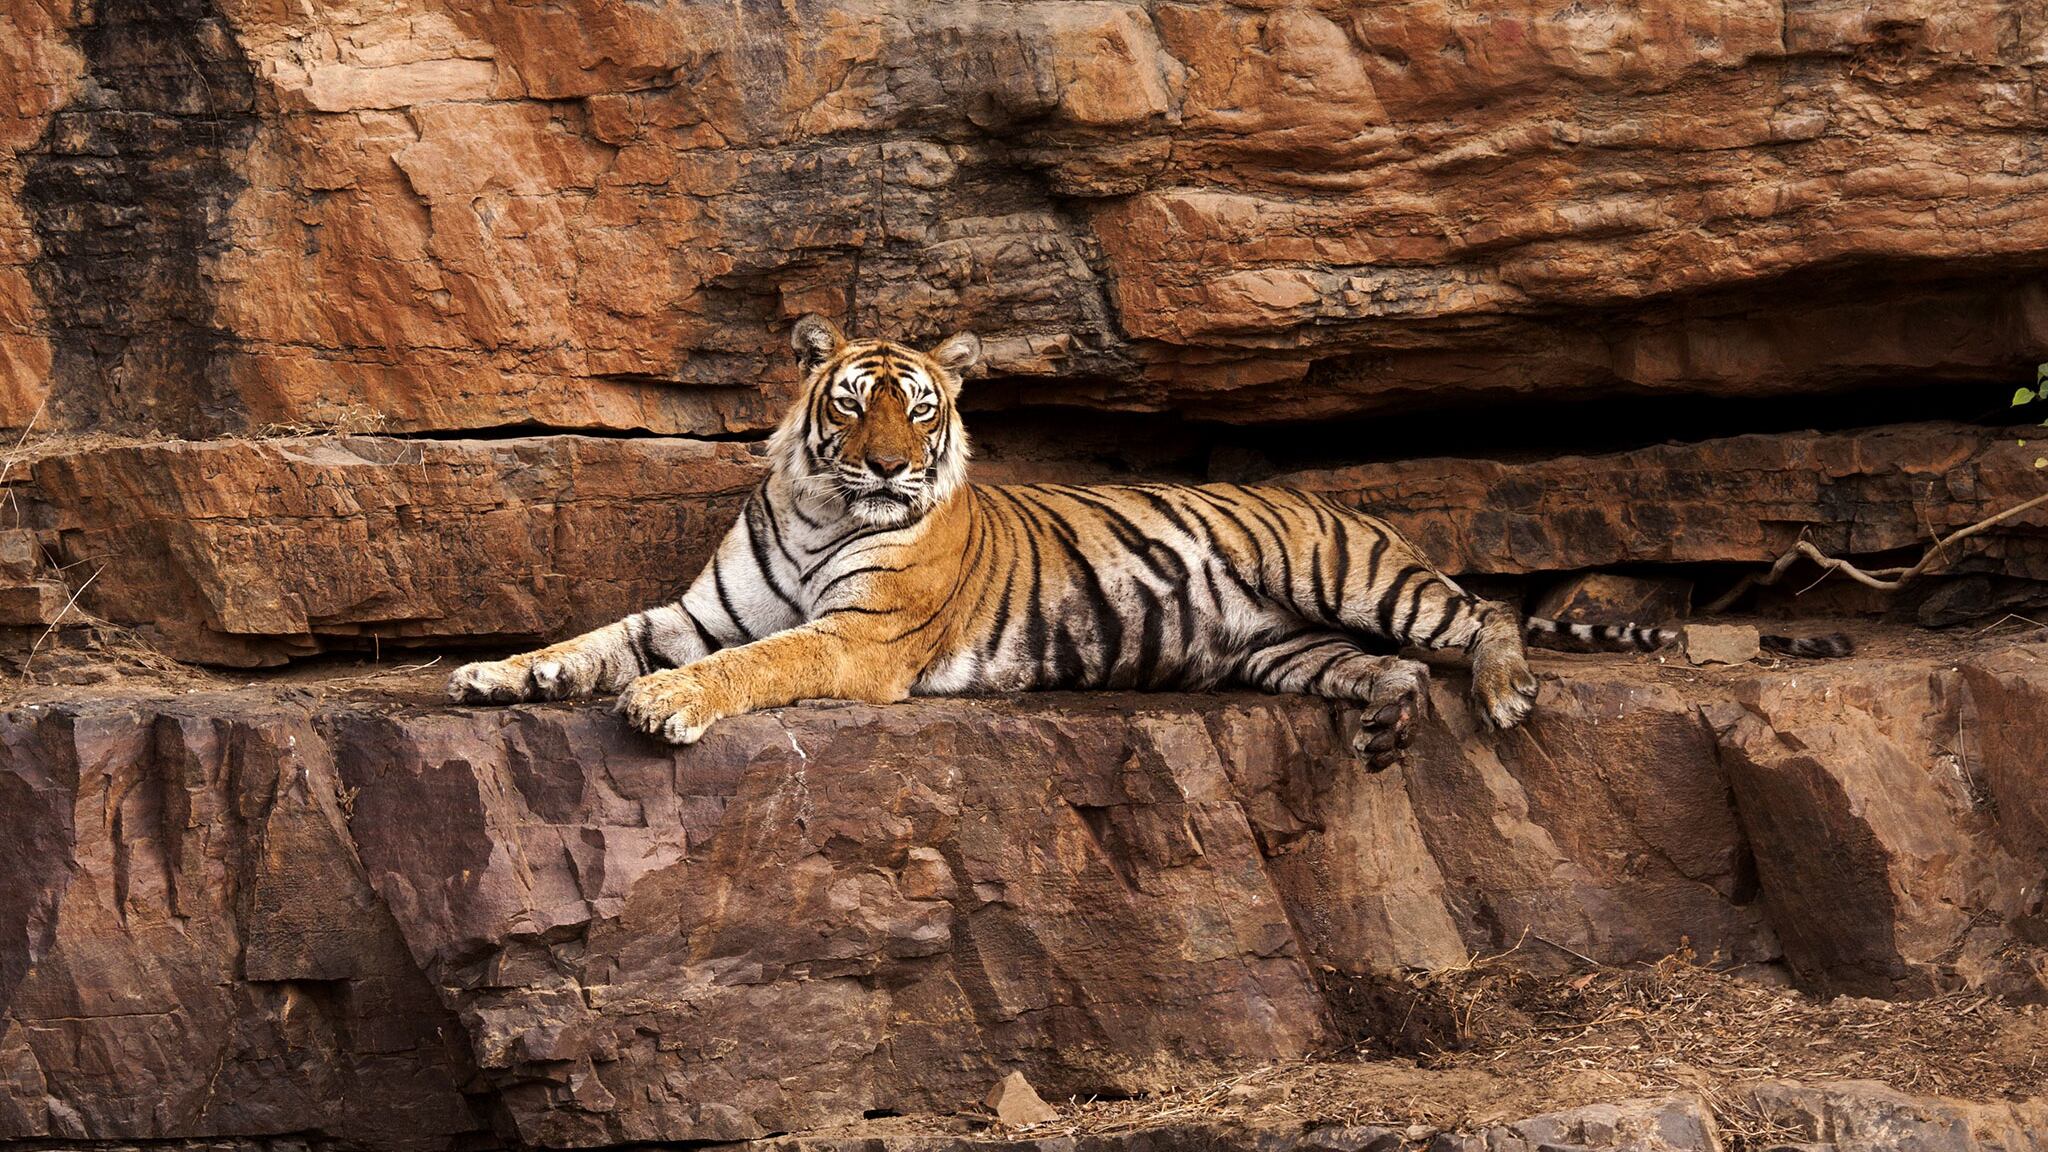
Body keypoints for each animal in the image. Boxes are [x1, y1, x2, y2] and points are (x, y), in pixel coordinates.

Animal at [447, 315, 1850, 767]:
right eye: (853, 404)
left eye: (923, 407)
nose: (895, 468)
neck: (815, 504)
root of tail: (1325, 497)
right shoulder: (699, 608)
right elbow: (599, 636)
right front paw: (494, 674)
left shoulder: (851, 639)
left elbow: (749, 667)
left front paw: (664, 708)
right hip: (1276, 650)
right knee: (1384, 668)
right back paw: (1385, 720)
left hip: (1344, 572)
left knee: (1480, 616)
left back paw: (1500, 695)